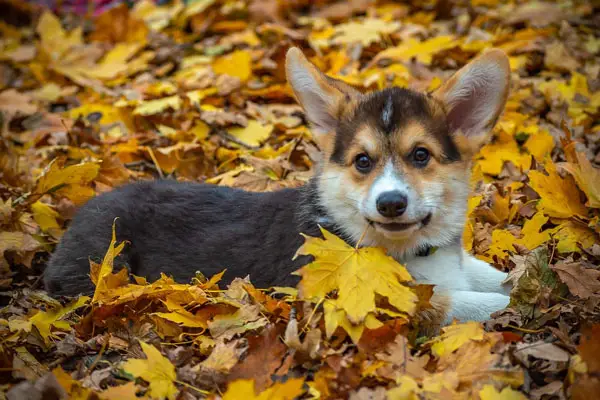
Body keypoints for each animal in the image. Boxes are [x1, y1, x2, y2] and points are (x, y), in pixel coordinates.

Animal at [44, 47, 510, 326]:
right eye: (362, 161)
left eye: (420, 156)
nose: (391, 203)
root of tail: (82, 210)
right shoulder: (389, 300)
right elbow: (473, 303)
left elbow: (493, 277)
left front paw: (522, 278)